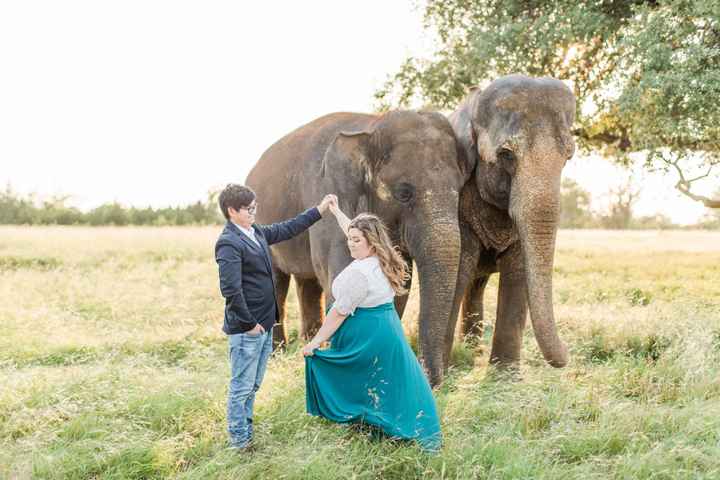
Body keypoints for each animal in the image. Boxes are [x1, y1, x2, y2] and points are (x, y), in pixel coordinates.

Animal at [245, 109, 464, 386]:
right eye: (404, 193)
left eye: (461, 190)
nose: (434, 383)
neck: (372, 124)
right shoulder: (327, 190)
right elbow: (340, 282)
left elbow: (396, 287)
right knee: (276, 281)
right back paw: (277, 354)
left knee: (308, 282)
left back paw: (310, 341)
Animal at [448, 74, 576, 368]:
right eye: (506, 155)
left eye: (568, 156)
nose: (569, 353)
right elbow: (458, 267)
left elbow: (517, 274)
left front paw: (505, 373)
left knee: (477, 284)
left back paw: (471, 350)